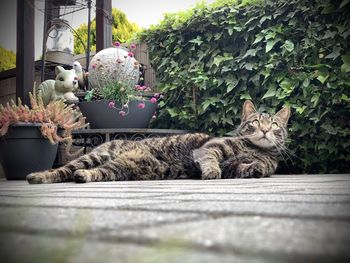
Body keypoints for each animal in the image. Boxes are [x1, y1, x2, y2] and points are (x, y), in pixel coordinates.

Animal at [26, 100, 290, 185]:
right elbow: (210, 159)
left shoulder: (236, 168)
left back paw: (82, 176)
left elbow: (252, 168)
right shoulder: (211, 148)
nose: (265, 130)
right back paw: (38, 176)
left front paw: (257, 167)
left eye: (275, 125)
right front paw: (211, 172)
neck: (253, 149)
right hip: (95, 156)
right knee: (63, 170)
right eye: (255, 122)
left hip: (122, 169)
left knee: (94, 173)